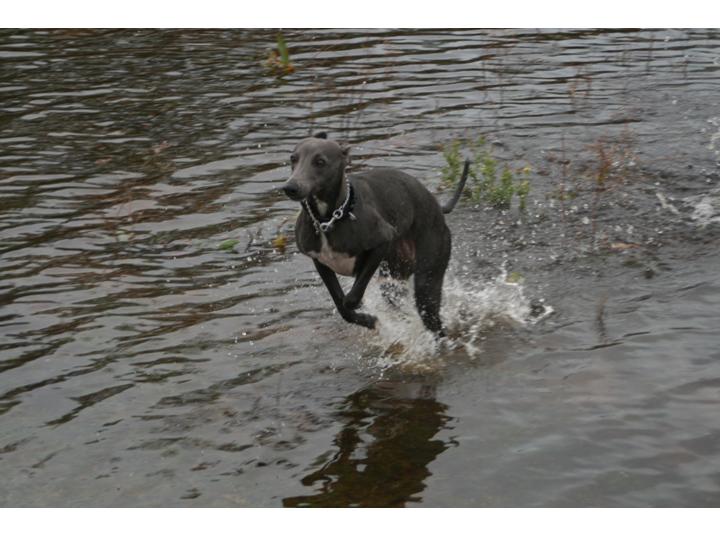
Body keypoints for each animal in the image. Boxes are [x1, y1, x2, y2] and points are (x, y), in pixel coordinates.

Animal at [284, 133, 470, 336]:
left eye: (320, 161)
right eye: (293, 158)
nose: (290, 187)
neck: (330, 219)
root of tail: (437, 206)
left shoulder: (382, 241)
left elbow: (351, 298)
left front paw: (366, 314)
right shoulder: (320, 262)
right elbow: (341, 305)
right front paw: (367, 320)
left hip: (428, 275)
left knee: (432, 316)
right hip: (395, 274)